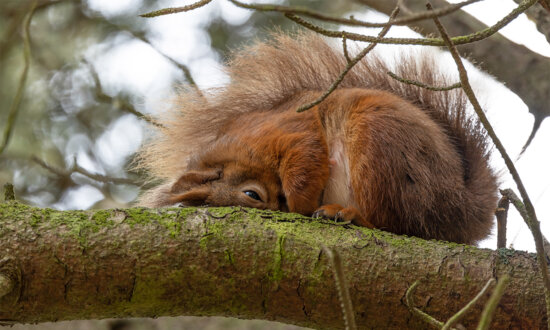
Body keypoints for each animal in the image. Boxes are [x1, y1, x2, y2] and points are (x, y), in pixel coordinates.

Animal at [138, 32, 500, 245]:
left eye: (252, 195)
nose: (279, 207)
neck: (232, 151)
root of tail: (463, 206)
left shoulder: (288, 132)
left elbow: (305, 166)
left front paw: (301, 207)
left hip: (382, 146)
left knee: (396, 223)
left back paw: (349, 215)